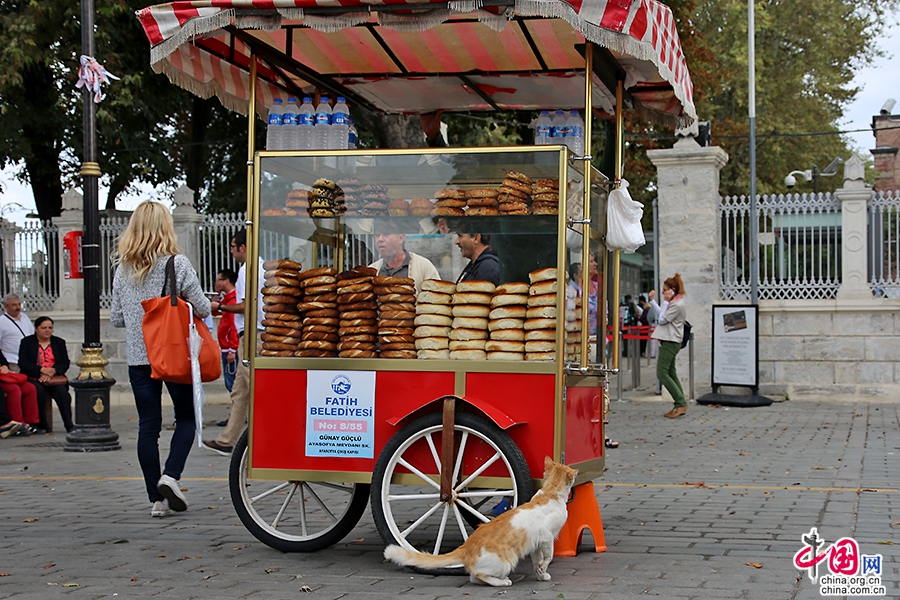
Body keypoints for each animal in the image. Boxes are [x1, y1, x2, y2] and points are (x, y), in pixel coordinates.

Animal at [382, 454, 576, 584]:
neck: (550, 492)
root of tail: (466, 547)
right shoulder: (546, 536)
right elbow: (549, 556)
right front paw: (544, 568)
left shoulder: (535, 543)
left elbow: (537, 561)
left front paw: (541, 574)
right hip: (507, 560)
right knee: (477, 575)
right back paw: (503, 581)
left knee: (474, 577)